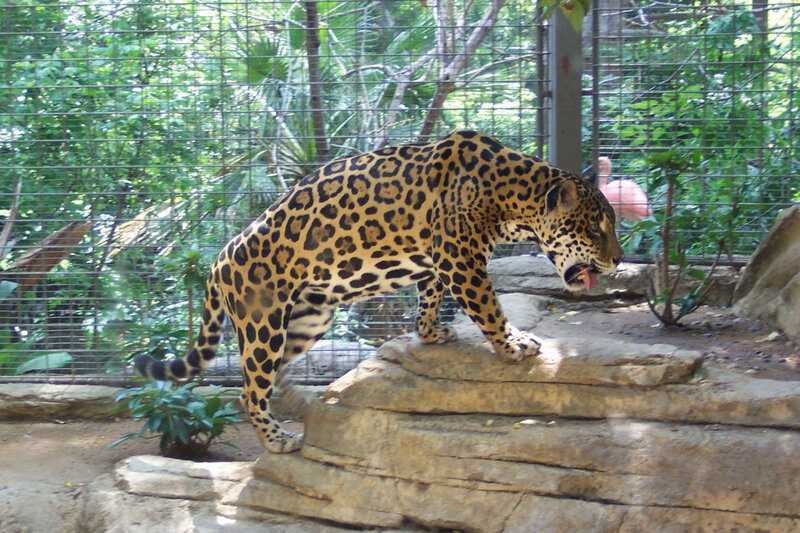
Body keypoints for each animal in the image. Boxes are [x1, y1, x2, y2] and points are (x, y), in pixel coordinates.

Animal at [135, 130, 624, 453]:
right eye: (596, 229)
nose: (618, 260)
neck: (513, 196)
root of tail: (219, 259)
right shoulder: (461, 259)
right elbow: (488, 307)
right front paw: (514, 343)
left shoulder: (438, 259)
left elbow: (430, 297)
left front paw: (430, 333)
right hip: (262, 326)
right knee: (248, 390)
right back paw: (278, 439)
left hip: (308, 319)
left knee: (268, 376)